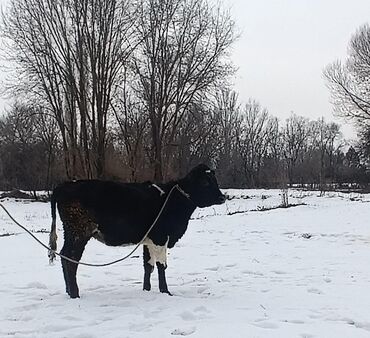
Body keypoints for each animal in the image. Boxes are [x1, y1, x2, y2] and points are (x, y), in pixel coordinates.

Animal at [49, 164, 225, 298]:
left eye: (214, 180)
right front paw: (165, 291)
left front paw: (146, 289)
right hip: (79, 232)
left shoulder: (148, 240)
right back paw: (74, 294)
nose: (222, 197)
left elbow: (148, 265)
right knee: (70, 259)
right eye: (205, 182)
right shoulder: (161, 238)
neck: (173, 198)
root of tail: (64, 185)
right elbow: (161, 266)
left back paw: (69, 291)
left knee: (65, 256)